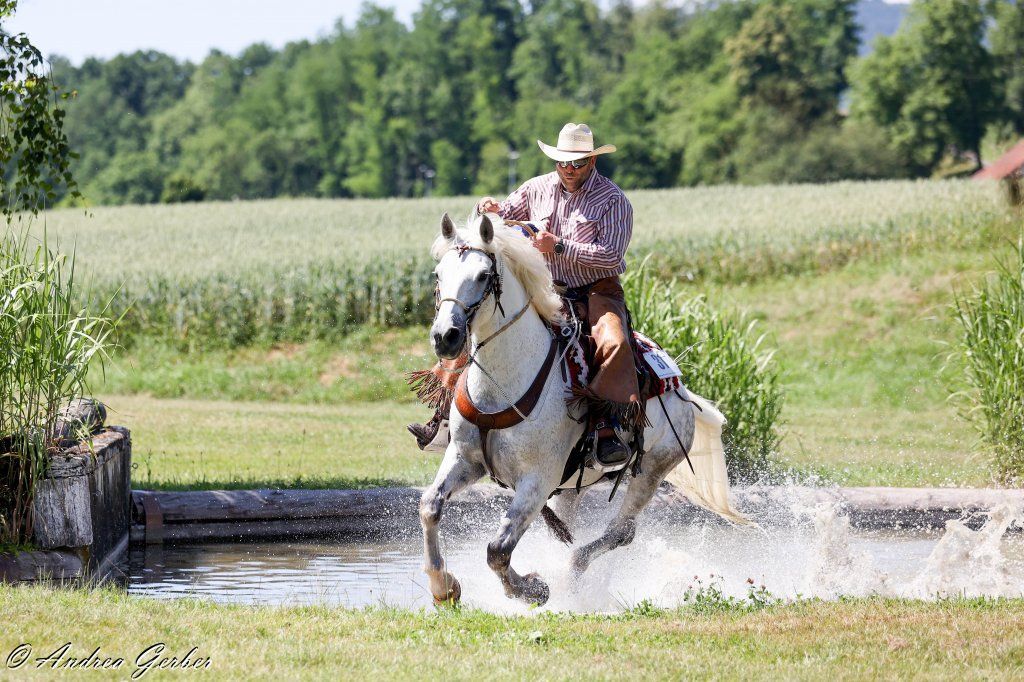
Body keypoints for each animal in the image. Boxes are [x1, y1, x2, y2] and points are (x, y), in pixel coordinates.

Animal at [420, 211, 746, 606]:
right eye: (439, 274)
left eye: (483, 275)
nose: (446, 337)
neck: (505, 383)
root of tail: (681, 390)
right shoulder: (465, 458)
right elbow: (430, 507)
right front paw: (443, 587)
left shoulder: (537, 480)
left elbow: (497, 549)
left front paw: (533, 589)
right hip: (573, 487)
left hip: (652, 469)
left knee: (621, 532)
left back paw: (572, 577)